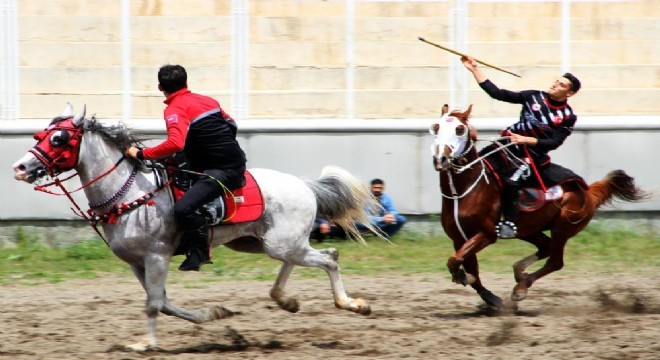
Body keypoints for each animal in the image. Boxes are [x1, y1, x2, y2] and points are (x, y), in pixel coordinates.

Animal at [12, 104, 384, 352]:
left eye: (59, 138)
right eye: (40, 134)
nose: (20, 167)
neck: (130, 193)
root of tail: (305, 185)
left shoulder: (157, 256)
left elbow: (153, 304)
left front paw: (145, 343)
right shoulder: (137, 263)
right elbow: (162, 302)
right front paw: (213, 314)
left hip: (281, 243)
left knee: (330, 258)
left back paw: (353, 304)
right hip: (264, 243)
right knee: (306, 259)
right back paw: (286, 300)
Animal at [430, 104, 648, 306]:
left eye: (459, 129)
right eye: (436, 127)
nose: (441, 158)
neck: (464, 191)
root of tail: (589, 192)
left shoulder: (486, 234)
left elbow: (457, 261)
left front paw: (464, 278)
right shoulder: (458, 238)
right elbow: (466, 266)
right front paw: (488, 295)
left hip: (563, 227)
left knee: (555, 261)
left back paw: (521, 288)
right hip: (528, 229)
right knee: (546, 247)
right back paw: (520, 273)